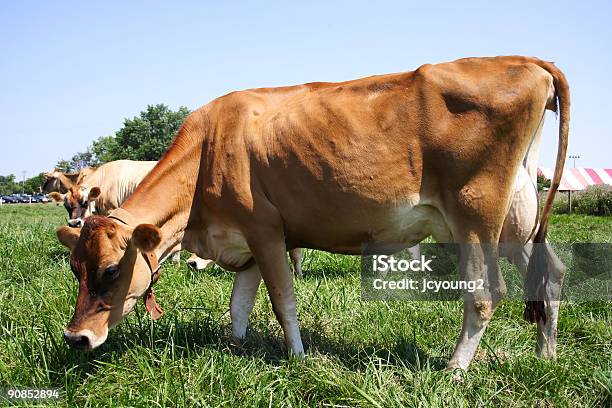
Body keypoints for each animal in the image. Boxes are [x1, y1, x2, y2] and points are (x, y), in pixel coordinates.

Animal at [56, 55, 568, 372]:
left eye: (110, 270)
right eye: (75, 268)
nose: (75, 338)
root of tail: (525, 61)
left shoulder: (266, 231)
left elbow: (283, 300)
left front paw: (299, 358)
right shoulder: (244, 241)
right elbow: (239, 303)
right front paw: (236, 347)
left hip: (475, 215)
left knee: (485, 294)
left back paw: (454, 370)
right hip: (516, 220)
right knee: (550, 274)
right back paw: (545, 356)